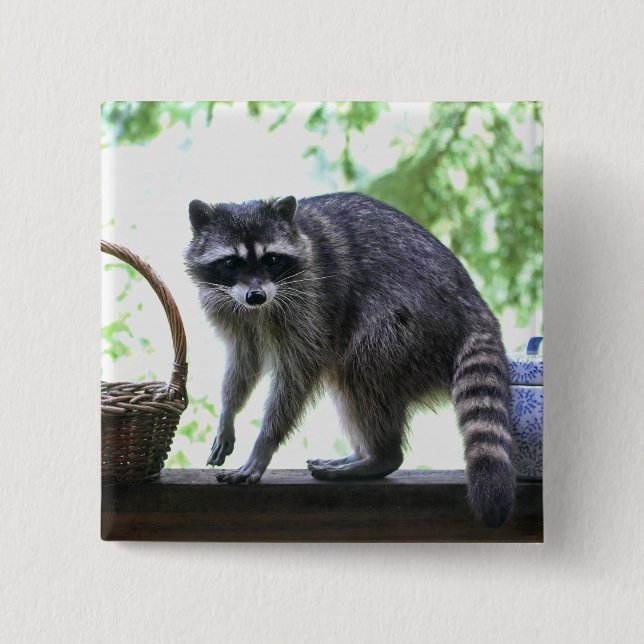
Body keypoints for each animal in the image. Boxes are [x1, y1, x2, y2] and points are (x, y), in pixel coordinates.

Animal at [184, 192, 515, 527]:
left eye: (272, 260)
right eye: (230, 262)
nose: (256, 296)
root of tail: (475, 307)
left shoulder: (312, 303)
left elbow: (299, 374)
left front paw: (263, 446)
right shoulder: (232, 312)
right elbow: (244, 363)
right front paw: (228, 414)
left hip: (411, 325)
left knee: (361, 368)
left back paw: (381, 456)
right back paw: (362, 453)